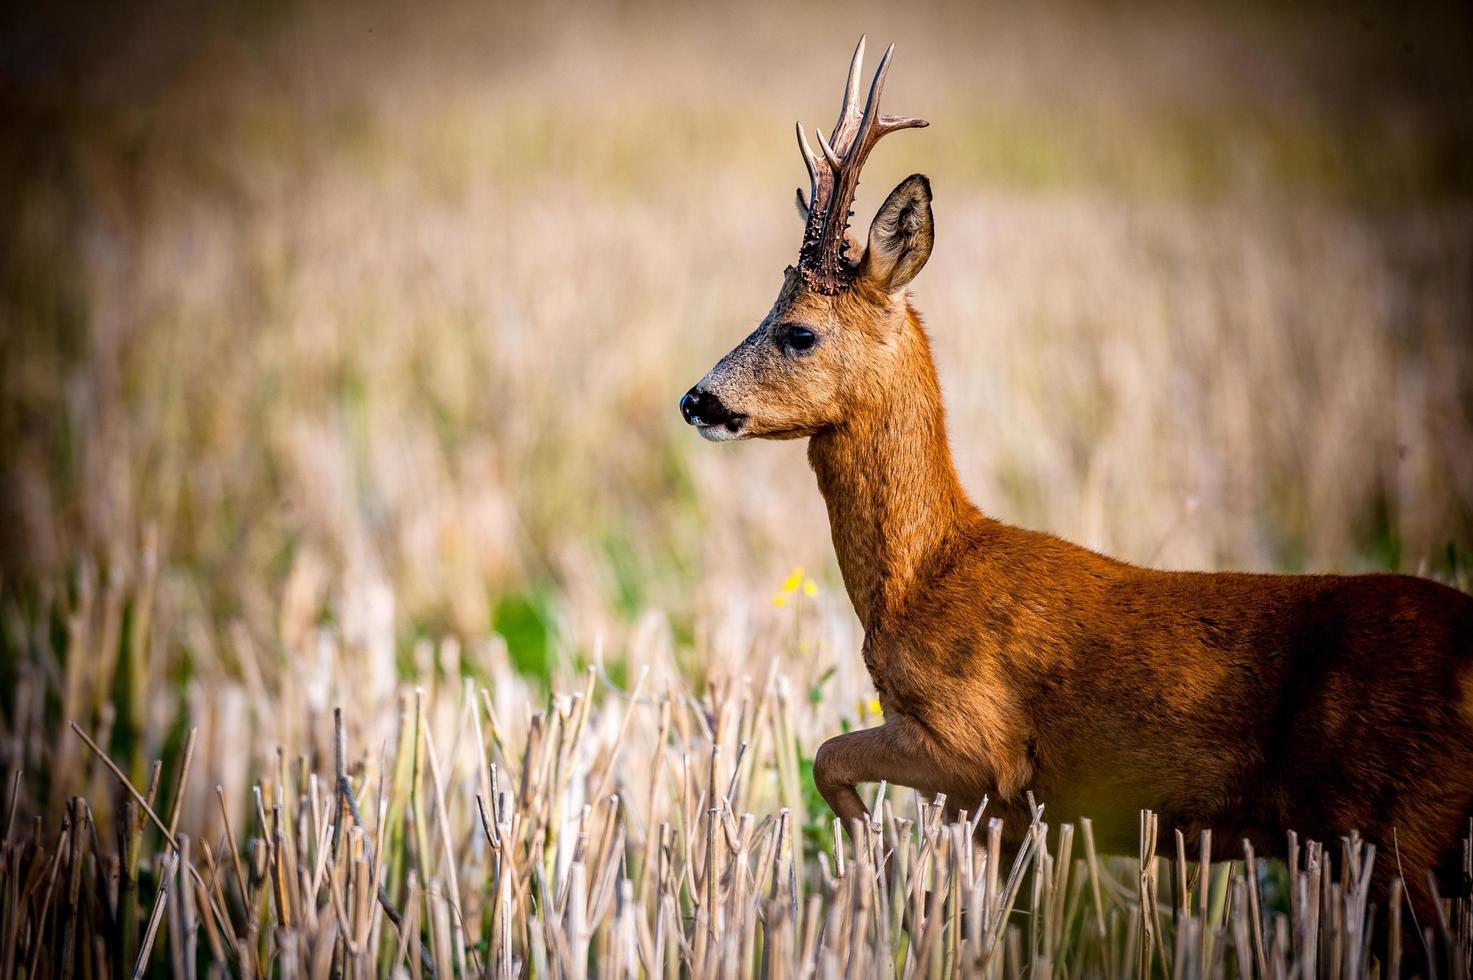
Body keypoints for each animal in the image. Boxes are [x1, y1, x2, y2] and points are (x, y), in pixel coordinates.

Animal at [680, 34, 1473, 931]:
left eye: (797, 331)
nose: (696, 399)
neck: (922, 576)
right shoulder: (1020, 813)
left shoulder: (975, 745)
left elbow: (825, 757)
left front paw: (870, 862)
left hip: (1388, 824)